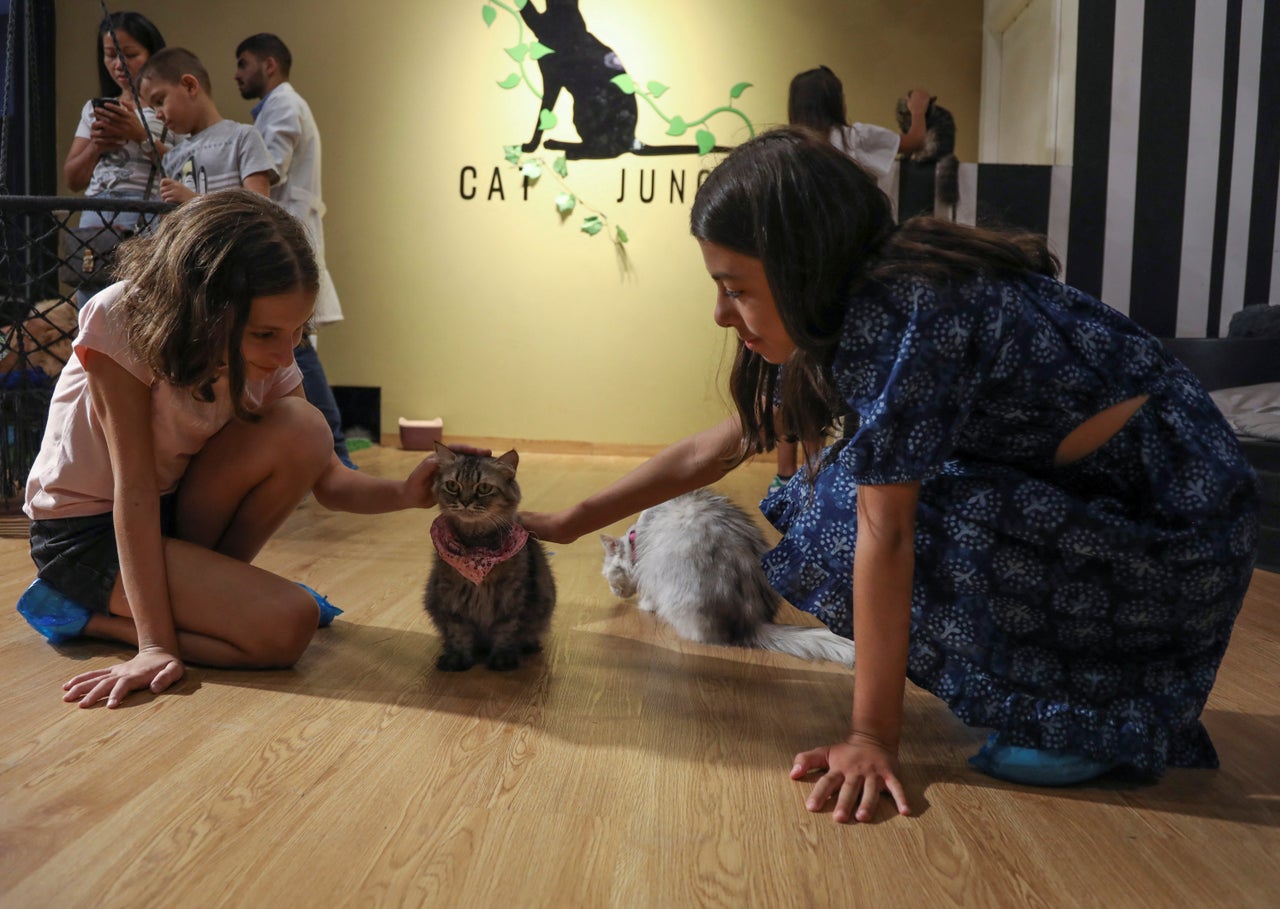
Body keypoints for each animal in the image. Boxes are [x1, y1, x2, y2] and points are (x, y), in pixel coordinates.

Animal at [424, 445, 555, 670]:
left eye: (484, 488)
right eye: (452, 485)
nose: (465, 502)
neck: (476, 547)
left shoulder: (512, 598)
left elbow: (506, 631)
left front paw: (503, 658)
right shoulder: (451, 598)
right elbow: (458, 631)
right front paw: (458, 657)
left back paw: (529, 645)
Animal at [601, 489, 860, 665]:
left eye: (608, 576)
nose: (613, 592)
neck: (635, 540)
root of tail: (751, 620)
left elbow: (648, 597)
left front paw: (644, 605)